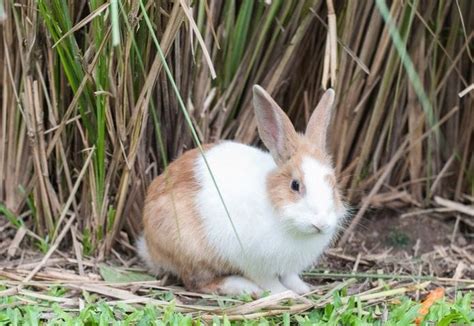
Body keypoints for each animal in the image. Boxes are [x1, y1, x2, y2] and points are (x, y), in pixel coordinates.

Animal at [137, 85, 348, 296]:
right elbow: (270, 282)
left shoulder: (288, 267)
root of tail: (150, 247)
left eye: (333, 185)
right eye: (295, 185)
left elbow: (290, 277)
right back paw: (244, 286)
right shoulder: (255, 264)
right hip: (192, 251)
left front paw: (303, 289)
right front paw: (285, 294)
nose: (321, 223)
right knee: (198, 283)